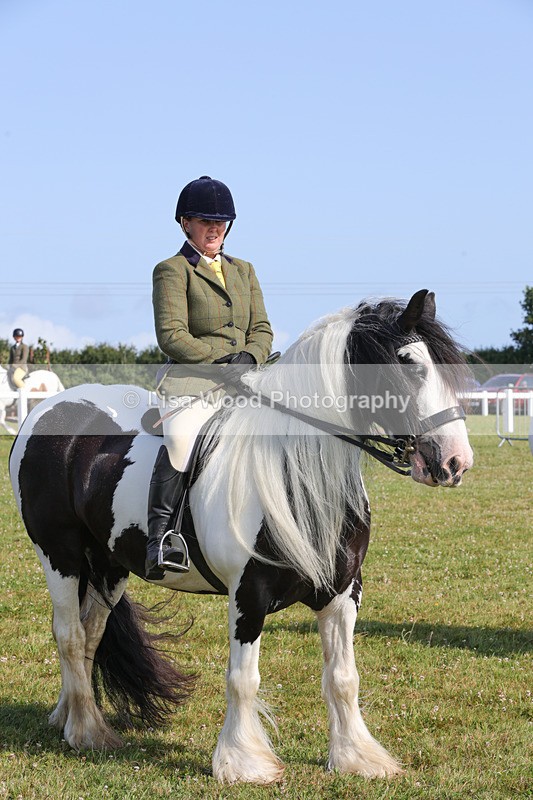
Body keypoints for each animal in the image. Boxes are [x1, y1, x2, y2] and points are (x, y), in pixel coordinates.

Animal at [9, 290, 473, 785]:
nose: (455, 462)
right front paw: (244, 762)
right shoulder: (248, 593)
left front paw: (356, 757)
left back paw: (70, 715)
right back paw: (85, 731)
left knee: (90, 633)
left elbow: (343, 678)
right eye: (409, 364)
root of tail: (48, 409)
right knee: (69, 633)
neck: (296, 472)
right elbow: (242, 679)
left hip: (110, 563)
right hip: (59, 554)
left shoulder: (343, 592)